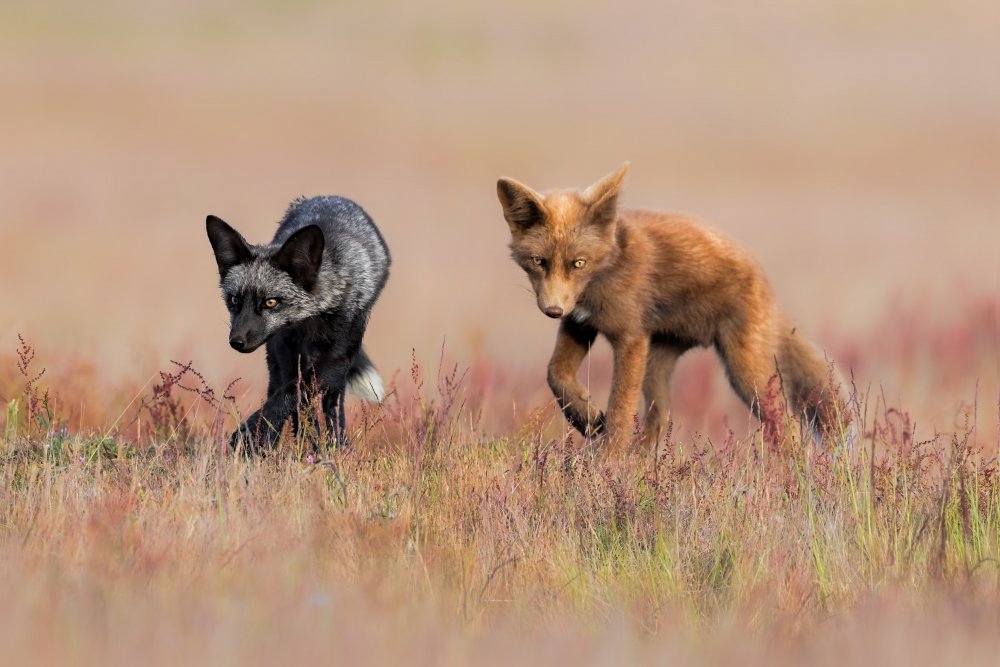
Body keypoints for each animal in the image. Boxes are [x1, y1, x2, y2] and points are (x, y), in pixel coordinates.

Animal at [205, 194, 388, 454]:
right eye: (234, 300)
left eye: (271, 302)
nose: (236, 341)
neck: (309, 322)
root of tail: (329, 196)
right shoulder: (288, 356)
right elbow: (291, 400)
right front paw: (267, 442)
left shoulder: (335, 358)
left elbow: (295, 395)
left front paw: (250, 435)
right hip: (276, 360)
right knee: (284, 394)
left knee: (332, 404)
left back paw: (337, 445)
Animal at [498, 164, 844, 454]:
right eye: (538, 261)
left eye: (578, 263)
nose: (553, 309)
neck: (604, 275)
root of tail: (764, 278)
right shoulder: (580, 324)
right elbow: (555, 374)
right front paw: (586, 419)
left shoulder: (630, 339)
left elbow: (621, 410)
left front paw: (606, 462)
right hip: (657, 364)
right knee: (658, 422)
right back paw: (640, 464)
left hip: (744, 372)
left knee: (788, 424)